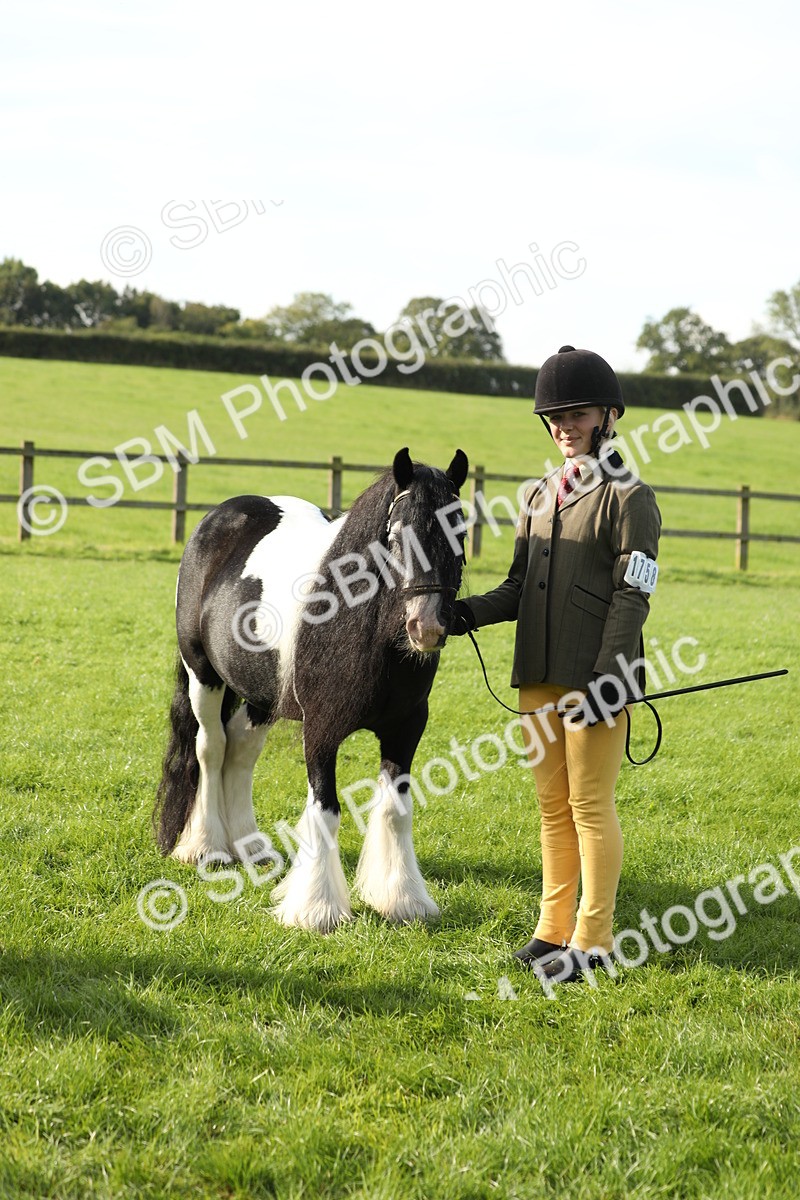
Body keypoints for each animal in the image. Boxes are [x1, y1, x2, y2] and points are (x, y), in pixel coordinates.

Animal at [154, 447, 469, 932]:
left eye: (461, 531)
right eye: (396, 535)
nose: (428, 626)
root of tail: (221, 516)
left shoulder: (406, 728)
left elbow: (396, 810)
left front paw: (401, 900)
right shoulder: (321, 731)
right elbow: (326, 810)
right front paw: (317, 910)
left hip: (262, 695)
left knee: (240, 750)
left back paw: (249, 845)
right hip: (203, 676)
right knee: (210, 747)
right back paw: (206, 846)